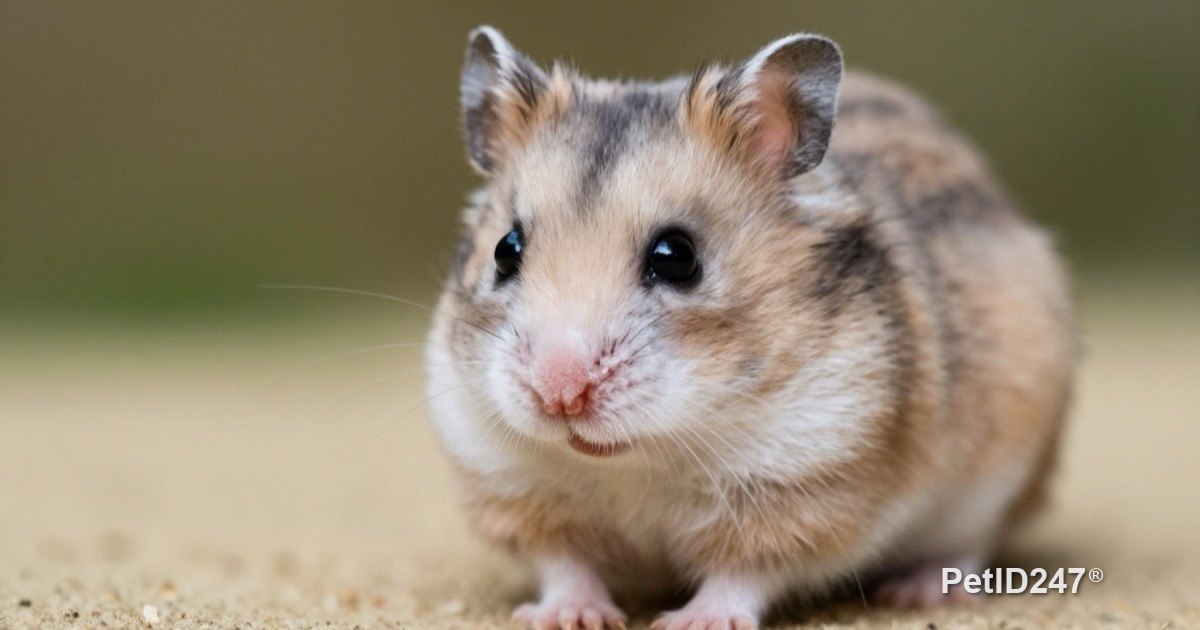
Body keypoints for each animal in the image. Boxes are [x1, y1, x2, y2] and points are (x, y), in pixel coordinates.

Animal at [425, 26, 1074, 630]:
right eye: (505, 251)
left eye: (677, 257)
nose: (560, 394)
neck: (641, 457)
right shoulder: (509, 481)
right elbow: (565, 563)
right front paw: (565, 616)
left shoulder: (804, 485)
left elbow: (743, 572)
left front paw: (691, 621)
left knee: (968, 546)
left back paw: (919, 591)